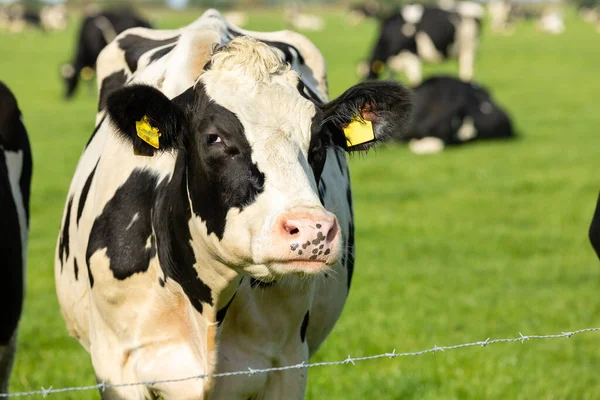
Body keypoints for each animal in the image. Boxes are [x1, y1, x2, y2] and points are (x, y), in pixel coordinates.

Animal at [55, 9, 412, 400]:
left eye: (318, 141)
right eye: (214, 138)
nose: (313, 230)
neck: (207, 303)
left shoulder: (287, 364)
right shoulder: (118, 369)